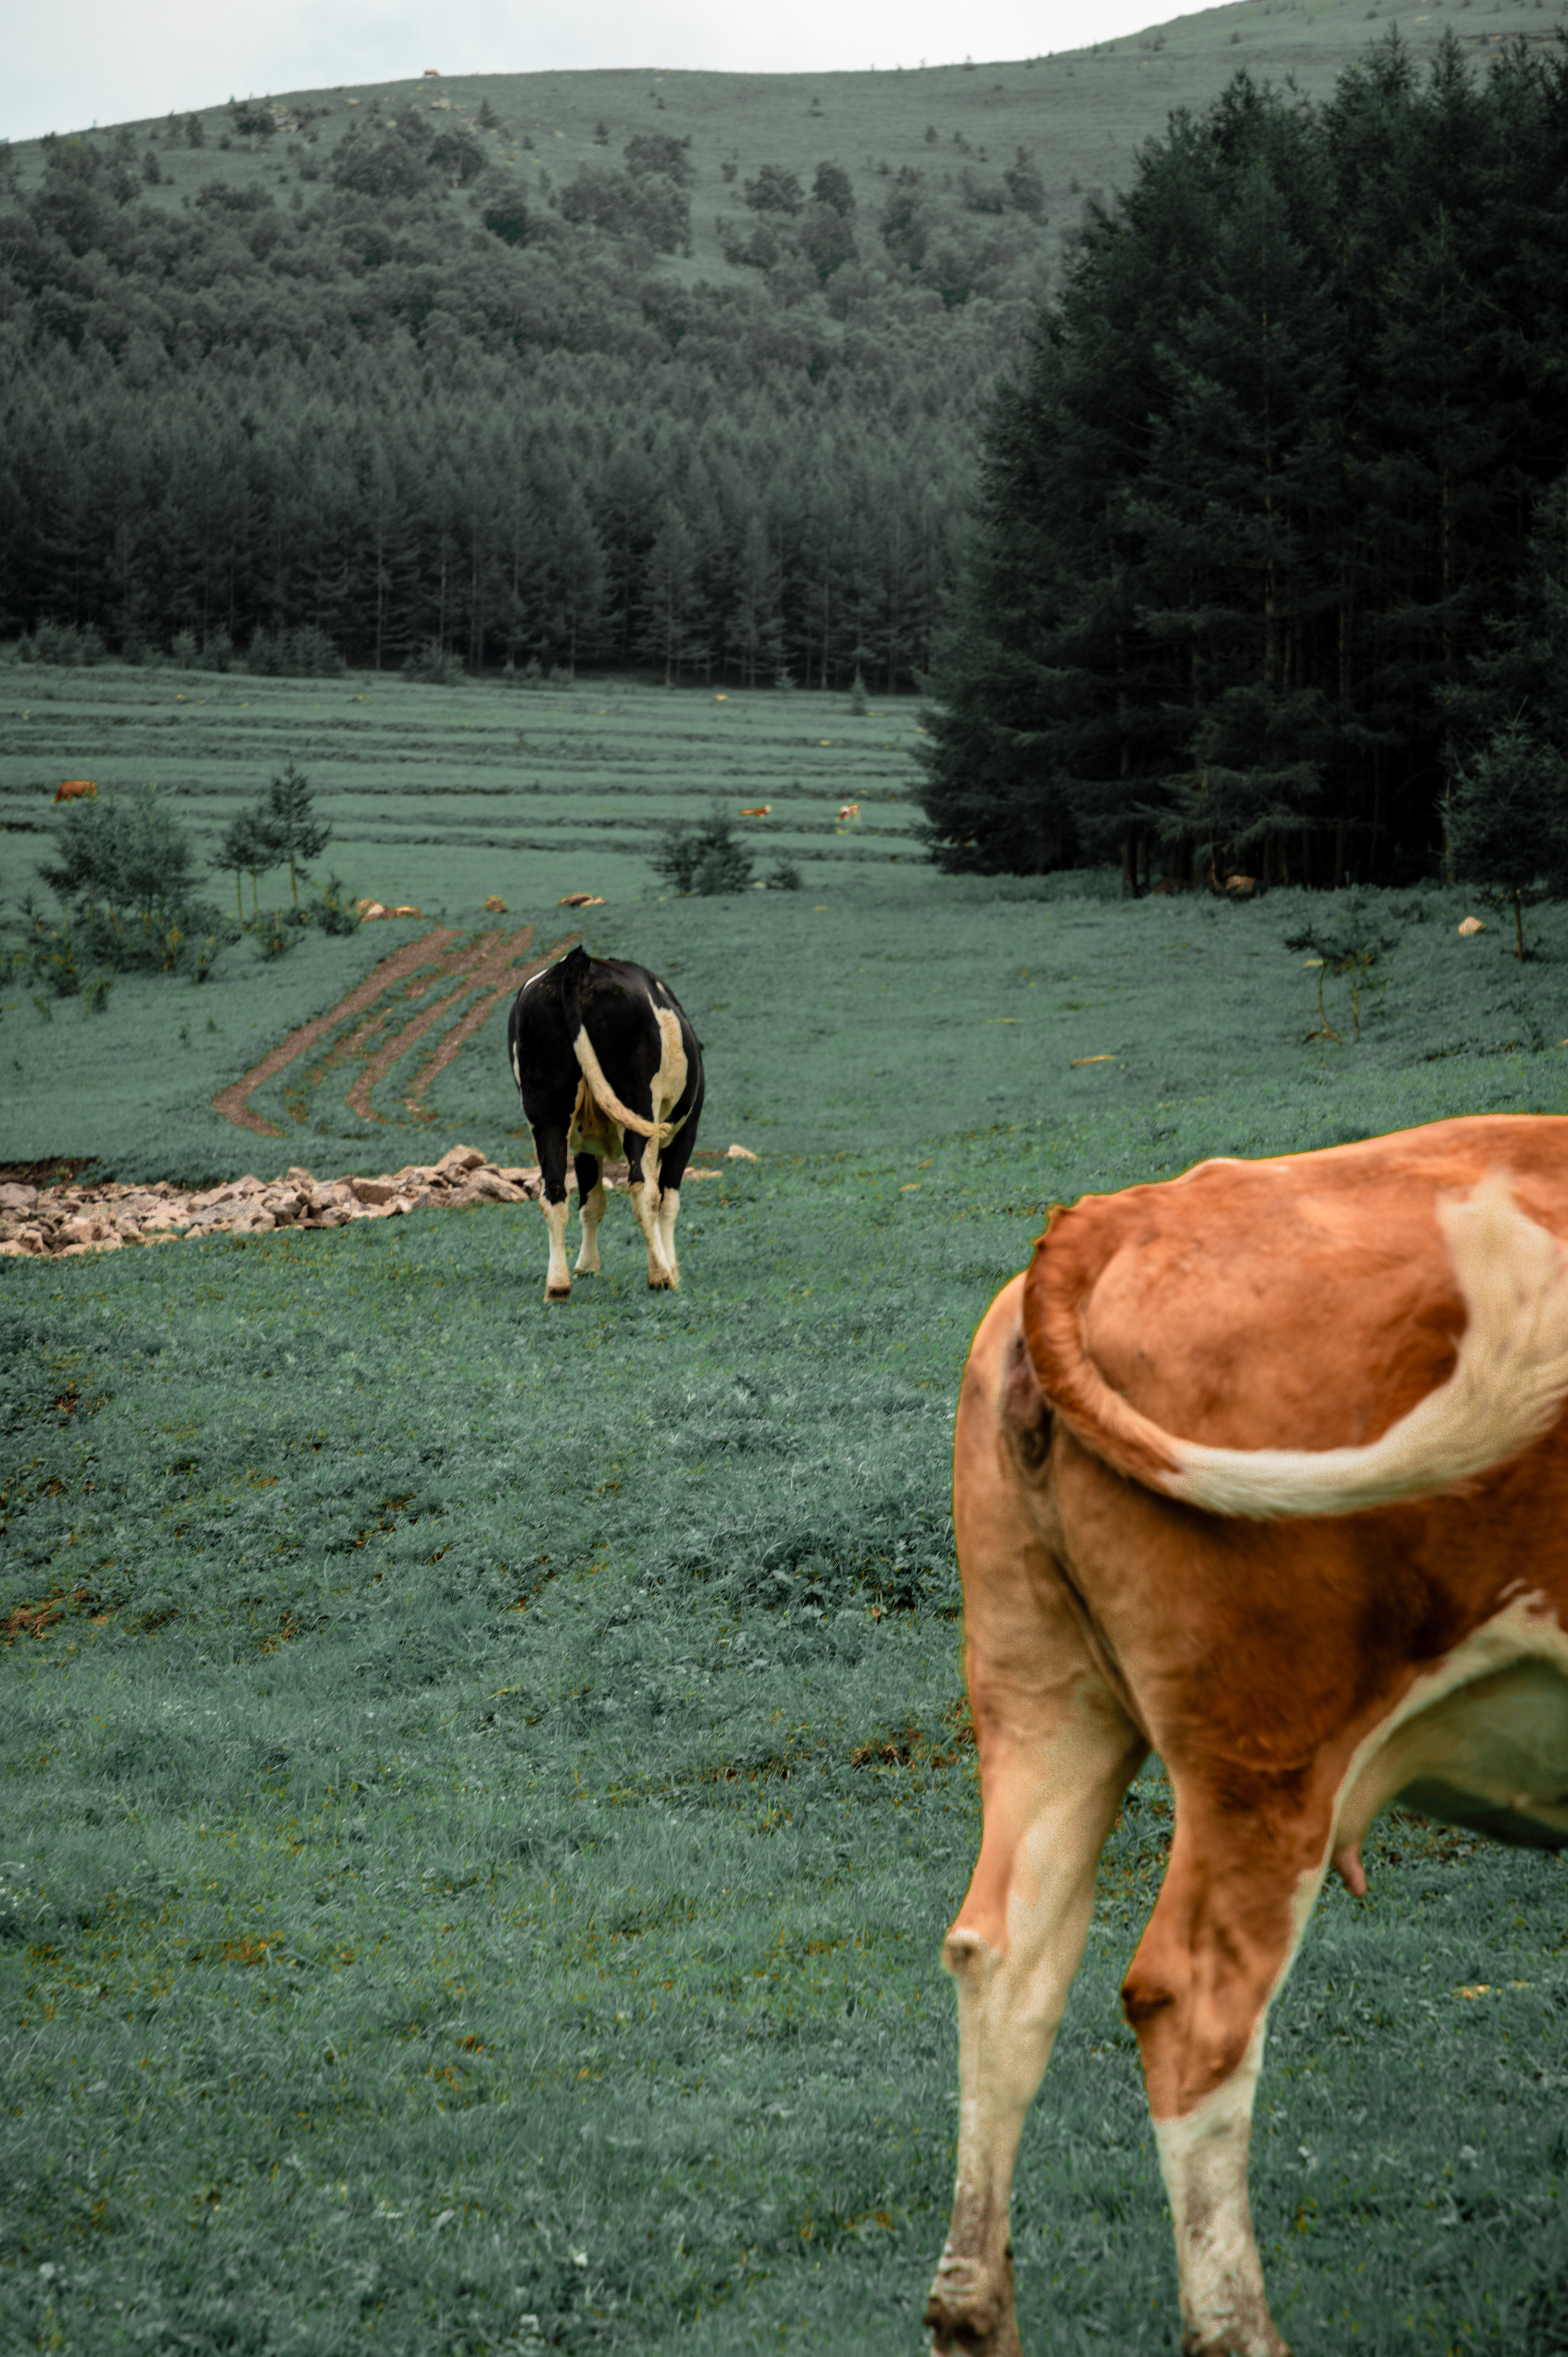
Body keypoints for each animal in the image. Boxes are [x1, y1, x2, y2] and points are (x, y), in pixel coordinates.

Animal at [507, 943, 703, 1310]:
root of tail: (579, 962)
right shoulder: (685, 1133)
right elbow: (669, 1202)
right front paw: (673, 1268)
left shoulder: (585, 1145)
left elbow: (592, 1203)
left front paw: (586, 1266)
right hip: (638, 1103)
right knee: (644, 1189)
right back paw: (661, 1277)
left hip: (547, 1111)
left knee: (554, 1192)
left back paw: (558, 1286)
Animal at [924, 1117, 1565, 2357]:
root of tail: (1103, 1220)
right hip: (1267, 1758)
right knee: (1190, 2007)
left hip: (1041, 1697)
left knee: (1005, 1959)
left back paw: (972, 2310)